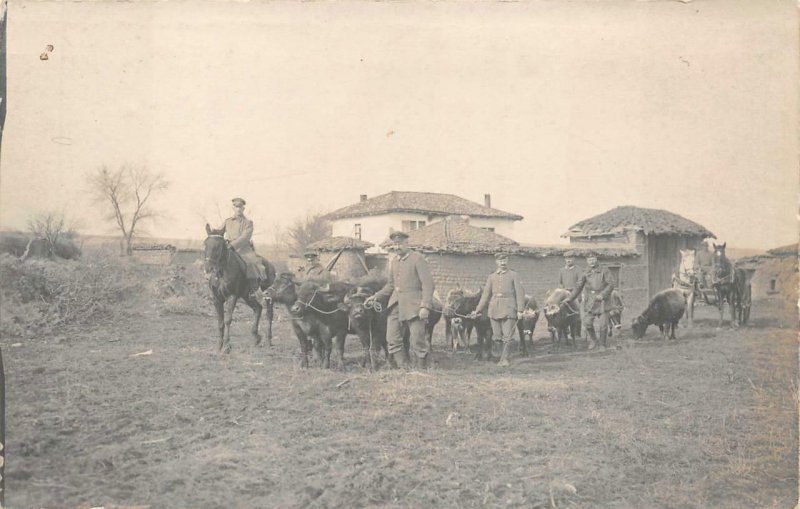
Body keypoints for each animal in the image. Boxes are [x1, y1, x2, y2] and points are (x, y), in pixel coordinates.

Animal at [203, 224, 276, 356]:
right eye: (205, 243)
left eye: (218, 246)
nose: (208, 268)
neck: (222, 272)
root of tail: (270, 265)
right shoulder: (216, 299)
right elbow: (220, 323)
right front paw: (219, 346)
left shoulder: (232, 297)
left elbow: (227, 320)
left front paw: (227, 346)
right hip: (247, 296)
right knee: (258, 308)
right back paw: (255, 338)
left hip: (267, 295)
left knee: (269, 314)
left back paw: (268, 341)